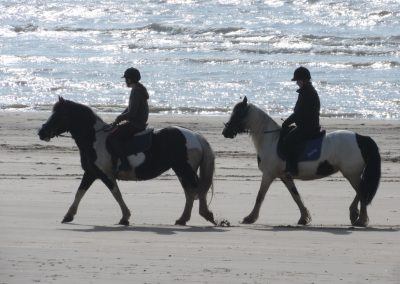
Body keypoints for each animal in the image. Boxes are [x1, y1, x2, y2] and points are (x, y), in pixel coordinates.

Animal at [38, 97, 216, 226]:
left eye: (60, 115)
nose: (41, 132)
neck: (95, 139)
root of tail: (195, 136)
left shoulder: (105, 174)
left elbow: (116, 193)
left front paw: (125, 217)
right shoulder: (91, 173)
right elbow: (79, 192)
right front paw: (68, 215)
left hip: (184, 169)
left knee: (196, 190)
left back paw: (206, 215)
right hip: (181, 170)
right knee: (190, 192)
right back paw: (183, 219)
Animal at [222, 96, 382, 227]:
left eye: (237, 114)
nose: (225, 132)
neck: (271, 140)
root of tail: (361, 138)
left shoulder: (268, 174)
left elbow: (260, 196)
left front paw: (250, 218)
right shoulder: (285, 176)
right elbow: (296, 196)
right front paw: (304, 218)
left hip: (351, 173)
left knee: (362, 191)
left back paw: (360, 219)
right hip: (352, 174)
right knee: (362, 191)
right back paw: (355, 215)